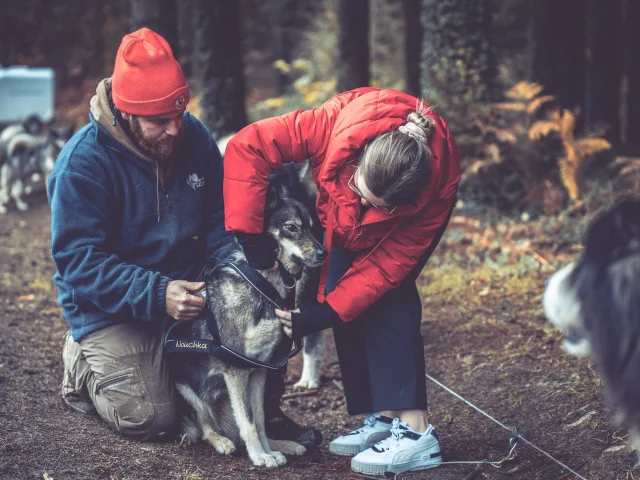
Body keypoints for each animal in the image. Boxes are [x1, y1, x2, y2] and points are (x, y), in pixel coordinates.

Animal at [172, 168, 328, 464]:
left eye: (312, 227)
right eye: (292, 227)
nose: (323, 254)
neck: (265, 286)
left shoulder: (259, 369)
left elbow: (259, 419)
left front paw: (270, 450)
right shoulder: (237, 370)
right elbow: (248, 420)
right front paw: (259, 456)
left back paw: (285, 444)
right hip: (186, 390)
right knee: (205, 427)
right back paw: (222, 441)